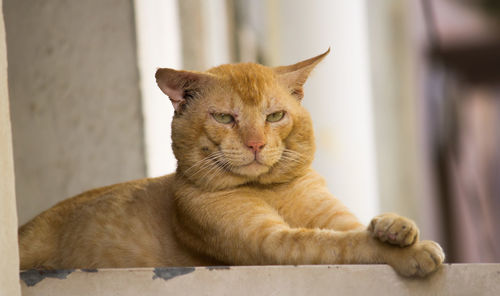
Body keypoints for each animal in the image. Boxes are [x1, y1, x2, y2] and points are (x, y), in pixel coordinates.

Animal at [17, 49, 444, 278]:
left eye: (275, 116)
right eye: (224, 118)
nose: (255, 143)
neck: (273, 192)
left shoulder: (335, 217)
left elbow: (357, 227)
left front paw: (395, 226)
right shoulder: (273, 245)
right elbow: (343, 244)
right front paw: (413, 253)